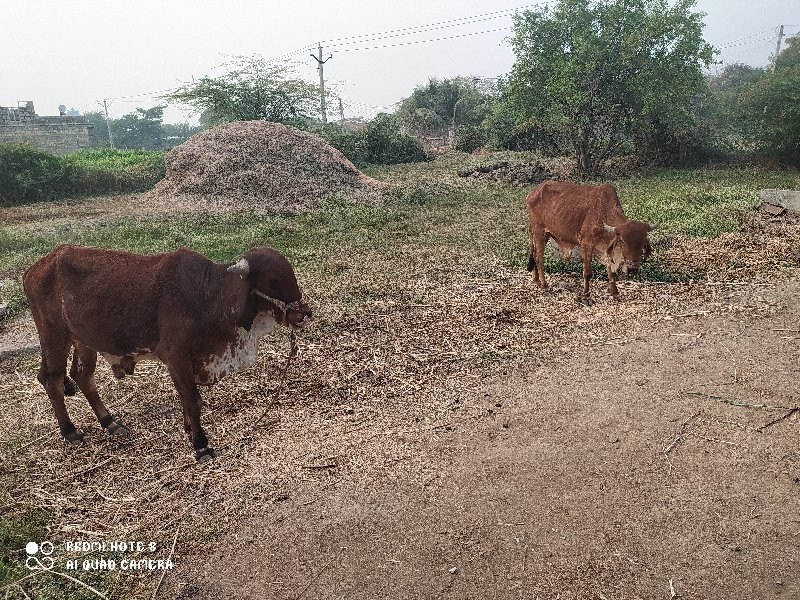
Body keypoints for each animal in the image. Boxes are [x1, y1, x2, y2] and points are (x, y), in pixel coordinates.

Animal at [23, 244, 310, 460]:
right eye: (273, 280)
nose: (304, 314)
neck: (209, 296)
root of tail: (37, 266)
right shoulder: (176, 357)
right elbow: (193, 400)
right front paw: (201, 444)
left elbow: (185, 399)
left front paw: (189, 431)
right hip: (54, 337)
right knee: (52, 379)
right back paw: (70, 431)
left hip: (84, 340)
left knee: (82, 376)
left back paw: (110, 422)